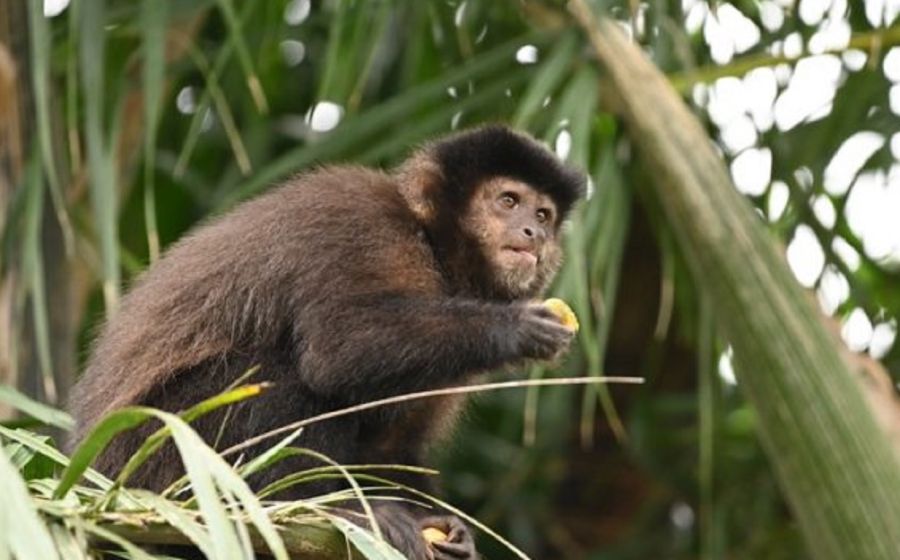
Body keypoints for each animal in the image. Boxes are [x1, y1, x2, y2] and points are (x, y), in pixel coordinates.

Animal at [68, 125, 586, 559]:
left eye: (543, 213)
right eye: (508, 200)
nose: (534, 232)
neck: (432, 246)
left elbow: (391, 446)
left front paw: (441, 526)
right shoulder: (366, 222)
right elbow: (338, 349)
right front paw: (513, 328)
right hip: (159, 454)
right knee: (279, 375)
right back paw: (310, 506)